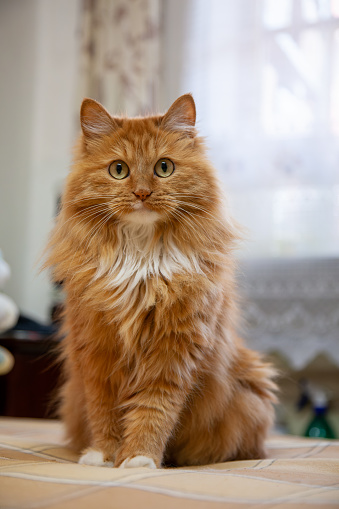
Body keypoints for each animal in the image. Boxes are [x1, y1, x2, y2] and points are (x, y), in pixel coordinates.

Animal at [45, 93, 278, 466]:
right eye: (118, 170)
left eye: (164, 168)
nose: (141, 193)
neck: (141, 263)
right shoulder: (97, 350)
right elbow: (104, 412)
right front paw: (104, 456)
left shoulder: (174, 352)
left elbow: (153, 411)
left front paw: (139, 458)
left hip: (250, 397)